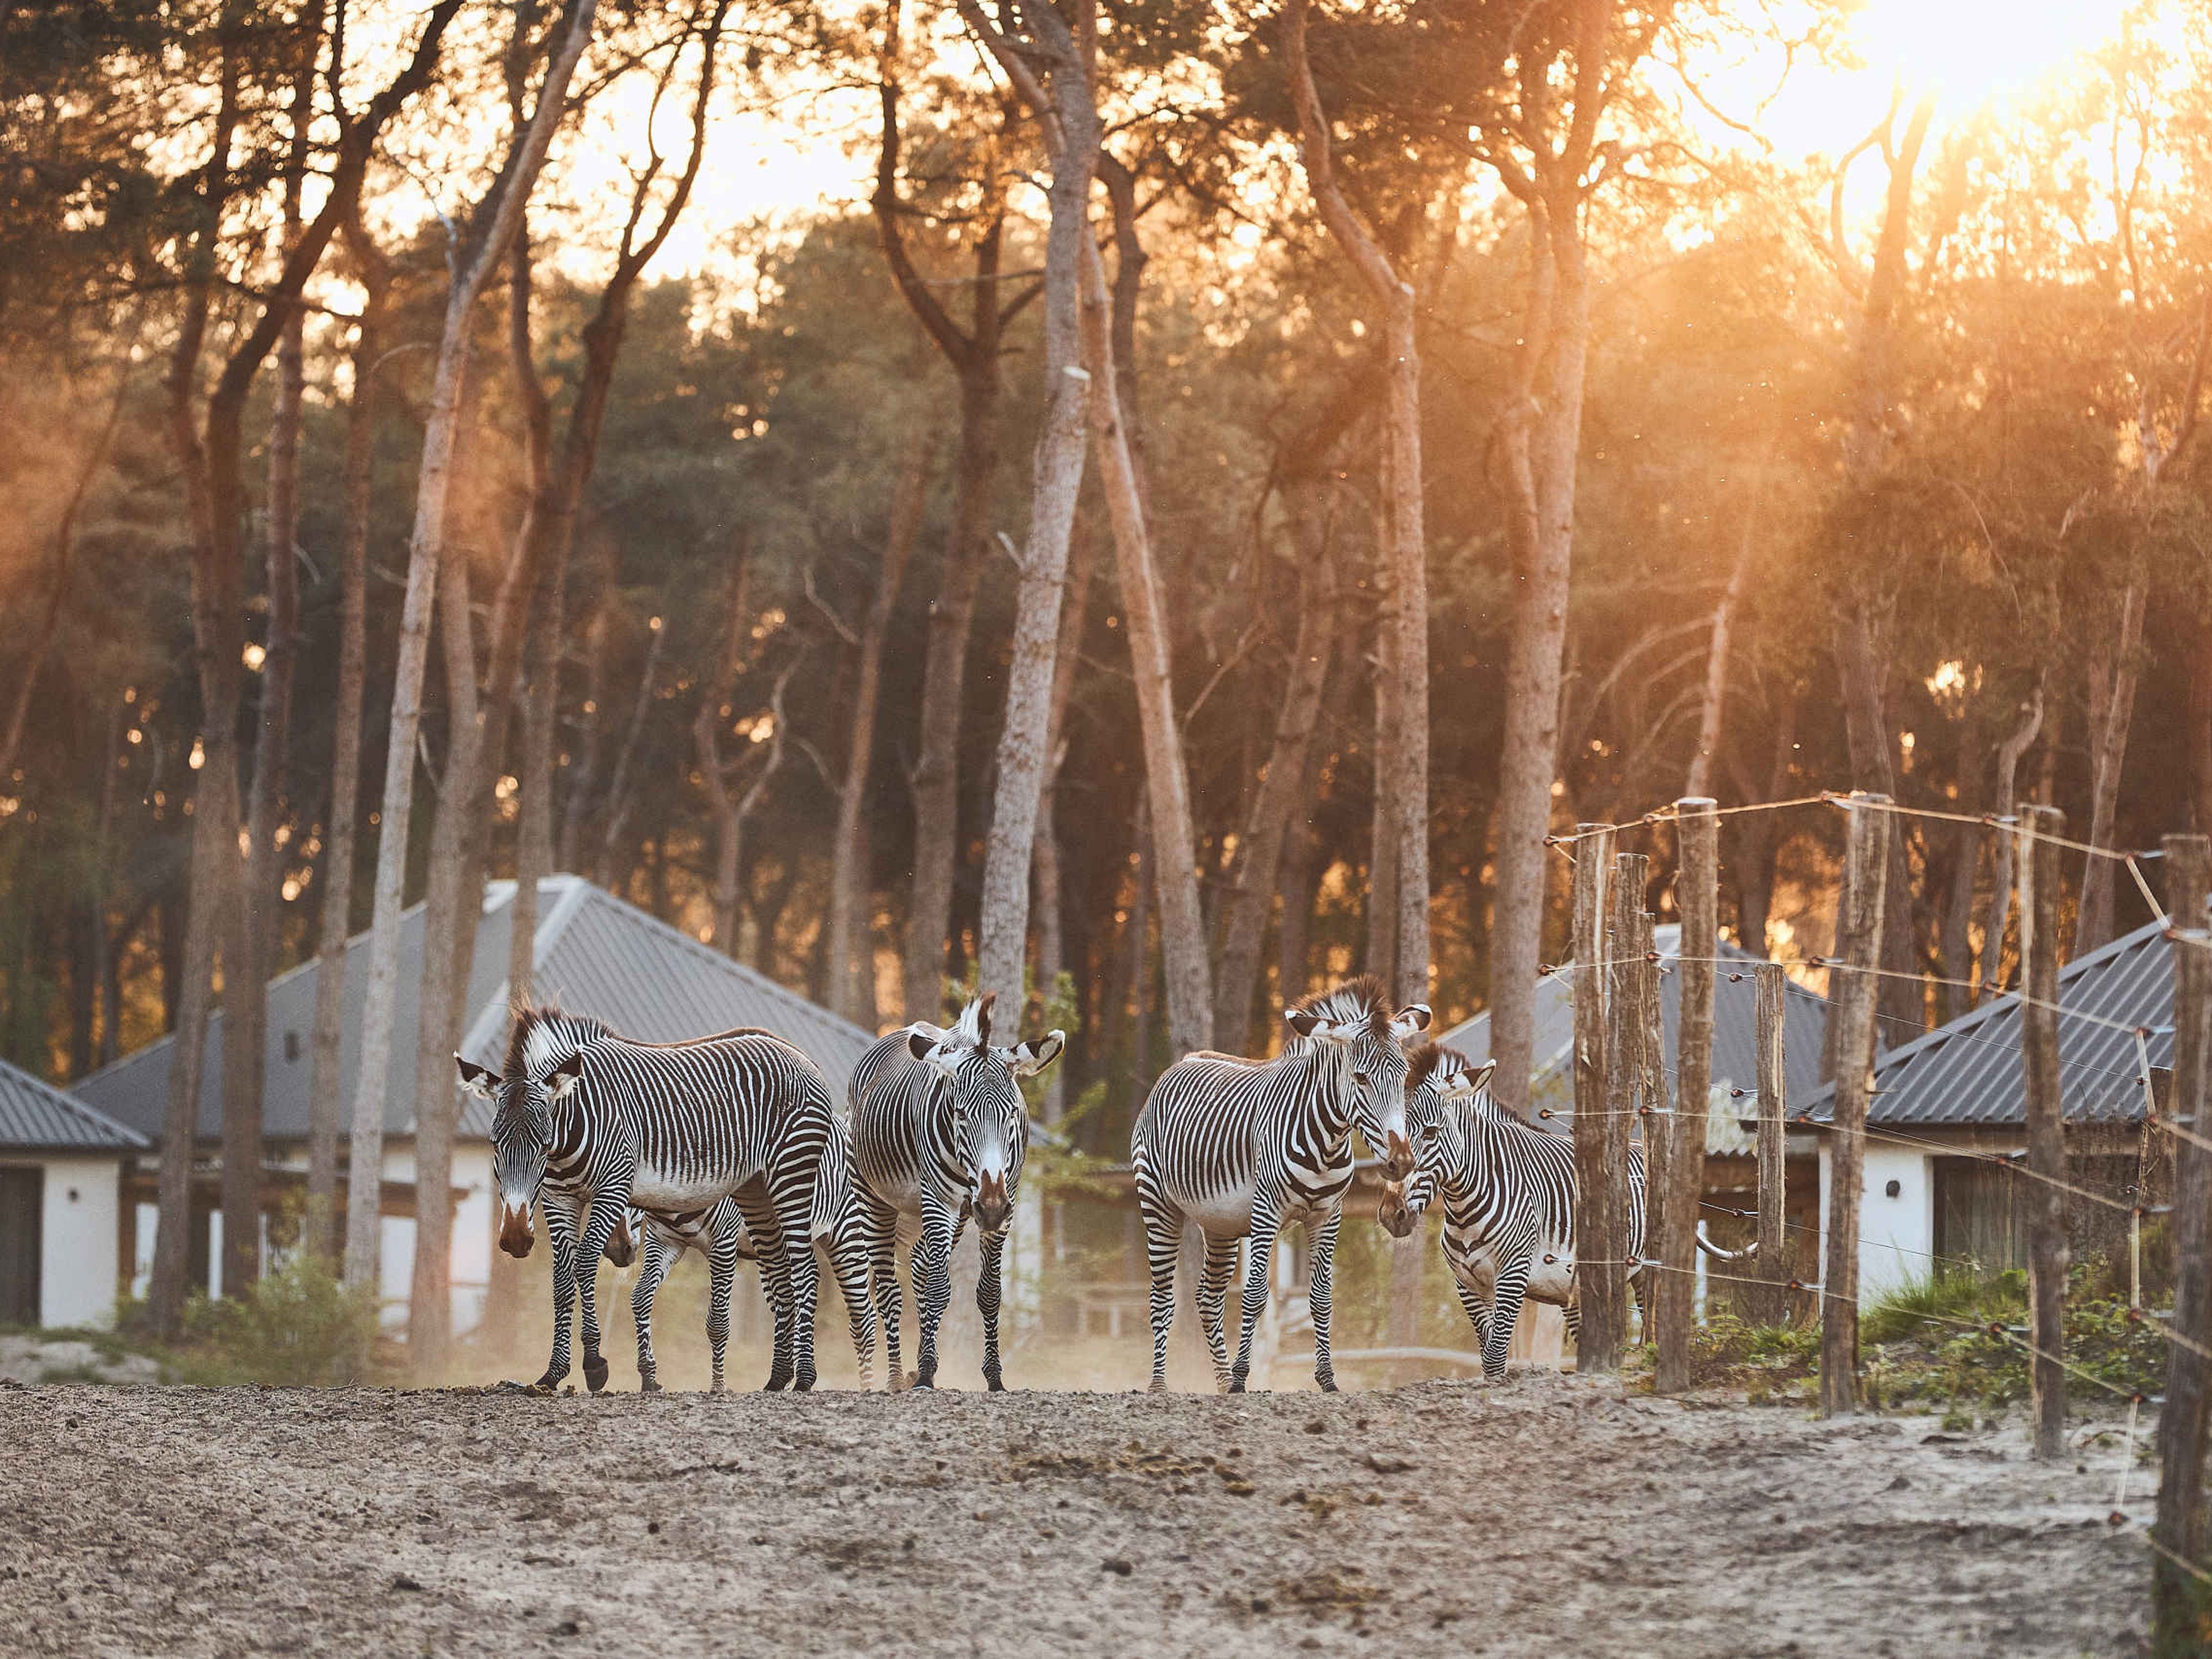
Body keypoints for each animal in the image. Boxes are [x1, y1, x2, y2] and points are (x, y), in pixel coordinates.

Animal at [457, 1003, 844, 1394]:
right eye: (494, 1144)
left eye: (542, 1143)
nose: (516, 1239)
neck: (573, 1130)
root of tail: (799, 1054)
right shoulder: (558, 1198)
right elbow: (563, 1278)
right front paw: (553, 1373)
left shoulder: (614, 1185)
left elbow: (585, 1263)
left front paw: (594, 1363)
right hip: (756, 1190)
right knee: (781, 1271)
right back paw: (777, 1378)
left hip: (792, 1175)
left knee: (807, 1270)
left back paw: (805, 1378)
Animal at [625, 1114, 878, 1393]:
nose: (623, 1248)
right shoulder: (664, 1241)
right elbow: (640, 1297)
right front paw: (649, 1378)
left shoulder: (724, 1241)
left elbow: (718, 1320)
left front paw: (718, 1385)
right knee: (797, 1288)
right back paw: (782, 1378)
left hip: (846, 1231)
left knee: (862, 1313)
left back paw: (866, 1384)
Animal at [848, 992, 1064, 1391]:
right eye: (961, 1114)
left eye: (1013, 1113)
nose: (991, 1207)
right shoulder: (940, 1201)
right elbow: (938, 1288)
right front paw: (926, 1375)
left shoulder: (1005, 1204)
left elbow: (990, 1292)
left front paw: (994, 1377)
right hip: (876, 1201)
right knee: (889, 1289)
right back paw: (897, 1377)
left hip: (955, 1215)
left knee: (919, 1266)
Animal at [1130, 975, 1430, 1395]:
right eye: (1361, 1078)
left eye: (1404, 1077)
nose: (1400, 1161)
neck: (1327, 1141)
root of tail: (1184, 1061)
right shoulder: (1266, 1213)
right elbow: (1256, 1295)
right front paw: (1243, 1378)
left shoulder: (1327, 1217)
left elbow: (1321, 1298)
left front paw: (1327, 1379)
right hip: (1158, 1205)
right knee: (1162, 1296)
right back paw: (1161, 1384)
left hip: (1220, 1224)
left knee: (1208, 1298)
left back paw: (1221, 1382)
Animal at [1380, 1041, 1751, 1380]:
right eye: (1388, 1133)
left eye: (1431, 1132)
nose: (1391, 1215)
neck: (1465, 1206)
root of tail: (1642, 1147)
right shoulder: (1467, 1284)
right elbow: (1487, 1354)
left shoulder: (1513, 1273)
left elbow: (1496, 1355)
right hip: (1576, 1289)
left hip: (1648, 1267)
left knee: (1651, 1324)